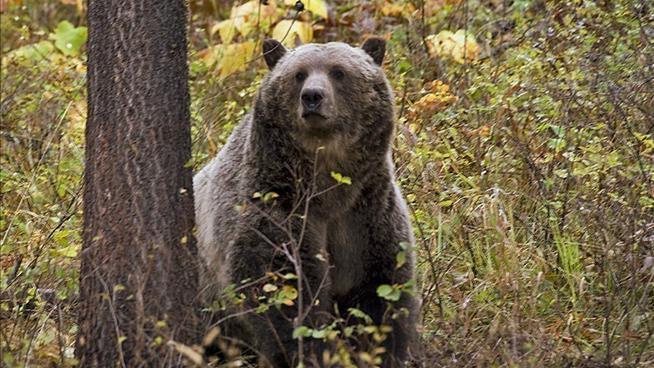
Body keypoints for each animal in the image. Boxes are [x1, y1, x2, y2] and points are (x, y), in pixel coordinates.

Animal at [195, 36, 420, 366]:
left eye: (339, 72)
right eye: (299, 74)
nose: (312, 96)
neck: (328, 188)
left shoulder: (367, 214)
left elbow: (380, 292)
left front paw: (382, 351)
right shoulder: (277, 206)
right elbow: (284, 291)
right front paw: (307, 351)